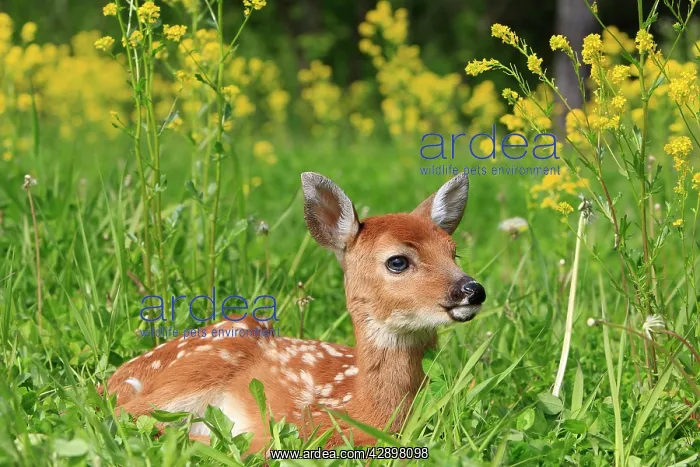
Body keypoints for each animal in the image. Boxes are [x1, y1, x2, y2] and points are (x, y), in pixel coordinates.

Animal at [104, 171, 486, 453]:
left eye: (453, 252)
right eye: (397, 261)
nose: (472, 290)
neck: (364, 408)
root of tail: (115, 379)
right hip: (209, 359)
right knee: (121, 415)